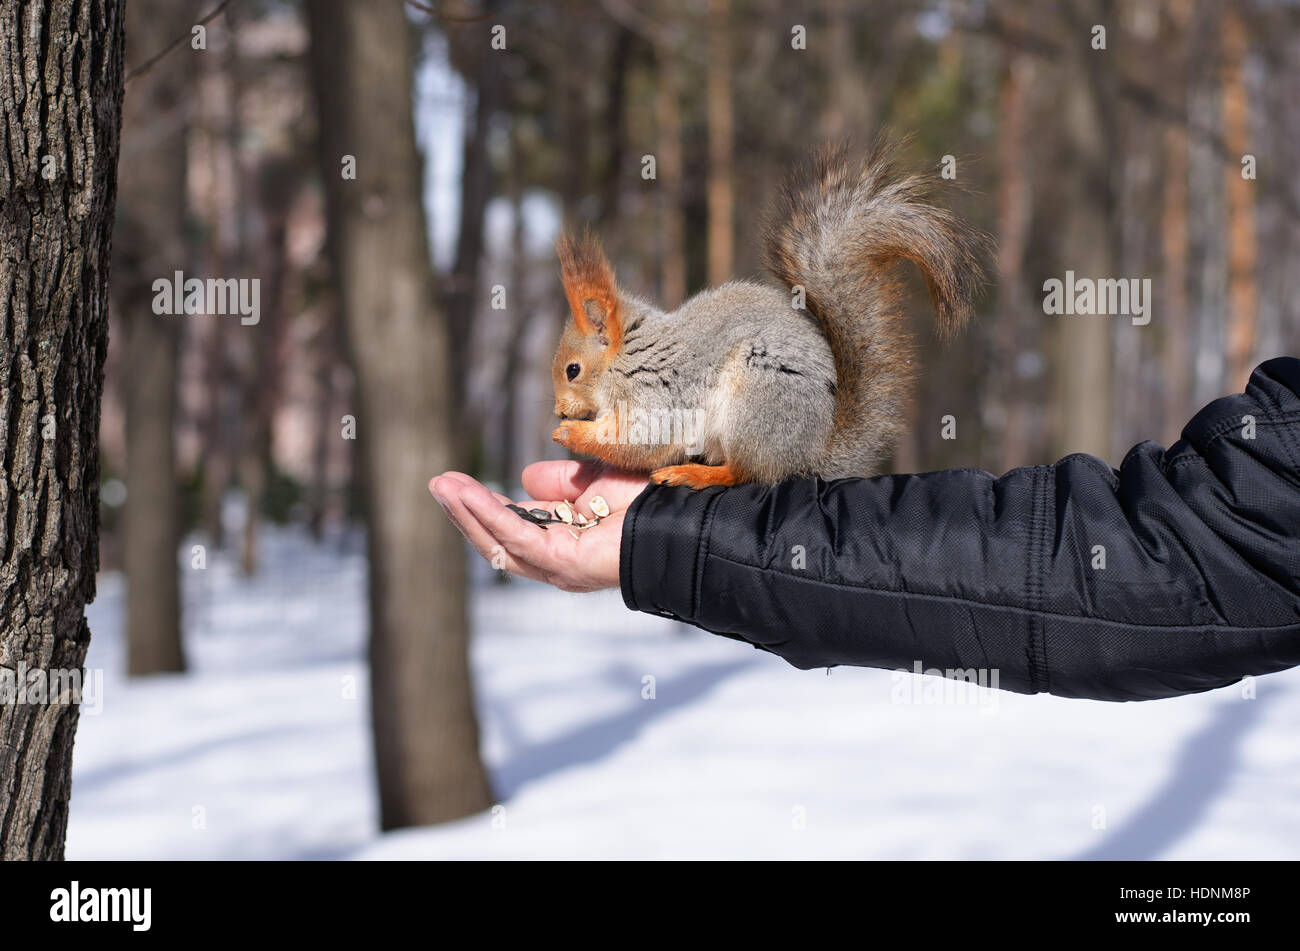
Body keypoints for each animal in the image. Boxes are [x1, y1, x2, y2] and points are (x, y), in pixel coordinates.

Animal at [546, 140, 982, 491]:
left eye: (573, 370)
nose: (558, 411)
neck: (626, 356)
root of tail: (809, 454)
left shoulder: (656, 393)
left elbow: (640, 441)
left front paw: (571, 434)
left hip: (758, 400)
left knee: (747, 472)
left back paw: (695, 473)